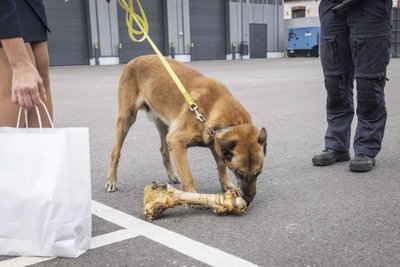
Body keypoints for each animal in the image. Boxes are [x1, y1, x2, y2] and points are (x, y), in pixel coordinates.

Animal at [106, 55, 268, 205]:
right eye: (239, 173)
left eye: (258, 173)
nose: (248, 199)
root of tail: (134, 60)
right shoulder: (177, 141)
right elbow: (187, 174)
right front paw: (192, 195)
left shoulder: (214, 142)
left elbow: (221, 164)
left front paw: (226, 184)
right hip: (126, 119)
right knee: (116, 151)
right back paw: (111, 180)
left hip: (164, 125)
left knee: (164, 150)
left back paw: (172, 175)